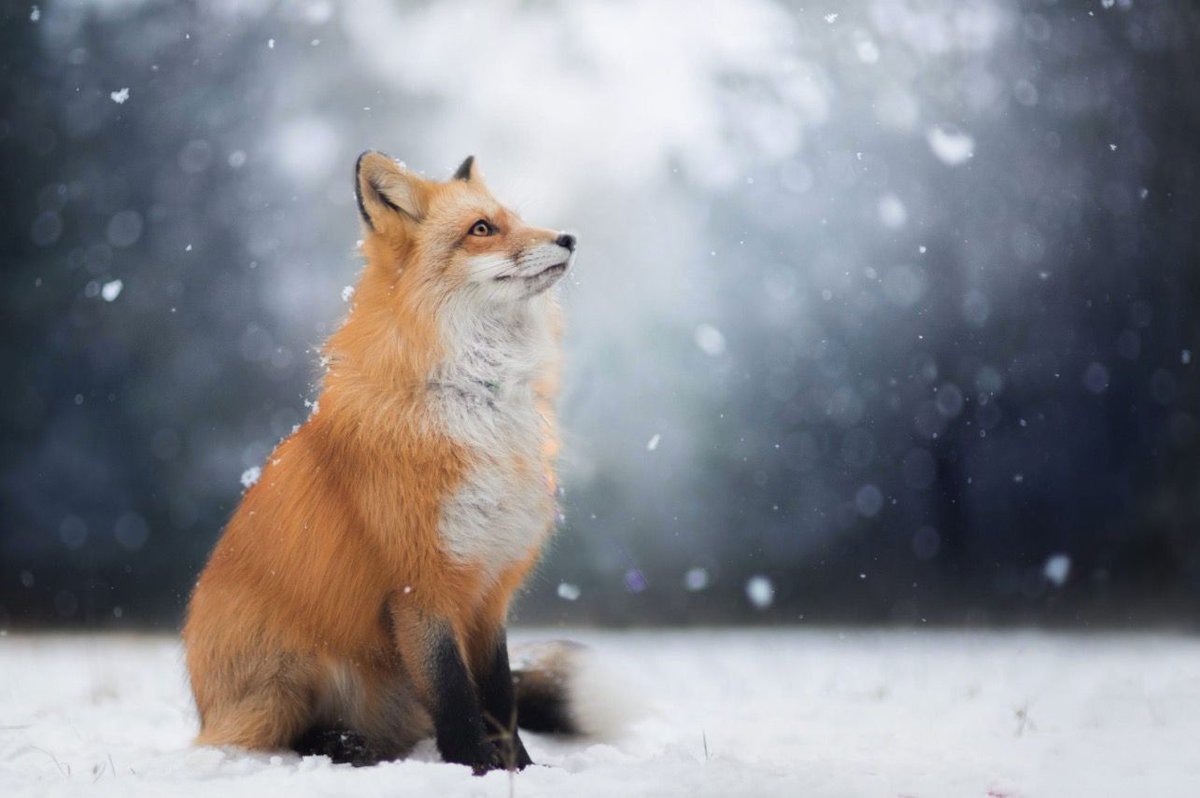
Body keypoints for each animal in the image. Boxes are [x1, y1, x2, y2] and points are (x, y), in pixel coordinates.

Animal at [182, 152, 591, 773]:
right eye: (482, 229)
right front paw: (473, 770)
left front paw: (521, 770)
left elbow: (500, 696)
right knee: (271, 737)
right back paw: (340, 746)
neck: (477, 403)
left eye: (516, 219)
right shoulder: (419, 585)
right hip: (286, 679)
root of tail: (205, 708)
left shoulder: (488, 587)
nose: (568, 237)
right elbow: (455, 695)